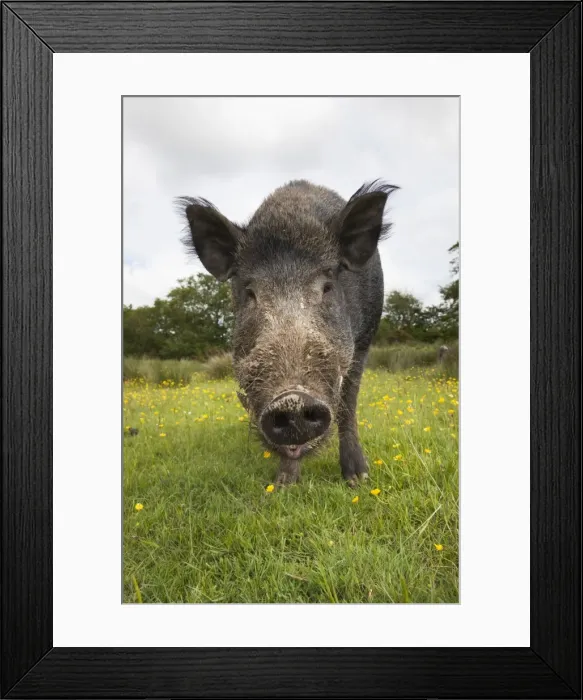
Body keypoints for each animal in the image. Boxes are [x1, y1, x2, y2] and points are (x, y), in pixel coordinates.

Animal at [178, 179, 398, 487]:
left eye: (327, 287)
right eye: (250, 293)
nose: (293, 399)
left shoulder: (363, 344)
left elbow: (348, 404)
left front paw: (358, 479)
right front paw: (283, 486)